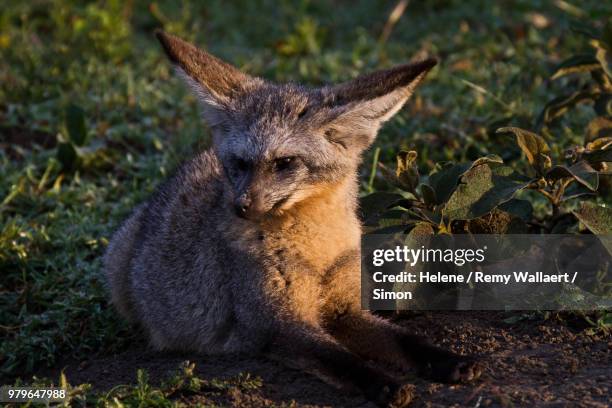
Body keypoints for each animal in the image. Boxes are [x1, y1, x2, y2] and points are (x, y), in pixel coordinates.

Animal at [105, 30, 482, 406]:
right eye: (240, 163)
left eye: (285, 163)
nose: (241, 207)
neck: (318, 251)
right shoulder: (276, 325)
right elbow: (339, 359)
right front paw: (386, 384)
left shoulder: (345, 310)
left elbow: (405, 340)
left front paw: (449, 360)